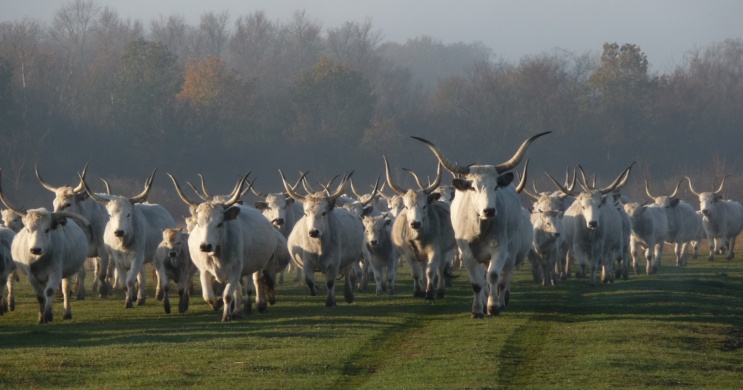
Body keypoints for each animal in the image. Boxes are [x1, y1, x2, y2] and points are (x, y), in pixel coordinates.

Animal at [80, 169, 177, 310]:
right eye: (110, 215)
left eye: (128, 214)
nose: (119, 231)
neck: (123, 244)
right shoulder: (118, 260)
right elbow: (125, 282)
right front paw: (130, 299)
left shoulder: (137, 258)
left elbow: (131, 281)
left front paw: (130, 301)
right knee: (142, 277)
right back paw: (141, 298)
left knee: (160, 273)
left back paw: (159, 294)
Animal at [282, 171, 364, 308]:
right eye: (306, 213)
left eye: (324, 213)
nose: (313, 232)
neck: (319, 246)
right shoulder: (307, 261)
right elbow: (309, 280)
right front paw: (315, 289)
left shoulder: (334, 262)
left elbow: (330, 282)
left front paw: (330, 302)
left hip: (349, 260)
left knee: (347, 274)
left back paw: (348, 295)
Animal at [412, 132, 552, 316]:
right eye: (473, 188)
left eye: (496, 187)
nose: (489, 211)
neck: (480, 229)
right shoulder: (466, 253)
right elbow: (477, 283)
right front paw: (478, 309)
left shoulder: (501, 250)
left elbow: (493, 276)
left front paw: (493, 306)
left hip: (511, 253)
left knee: (502, 279)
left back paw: (501, 300)